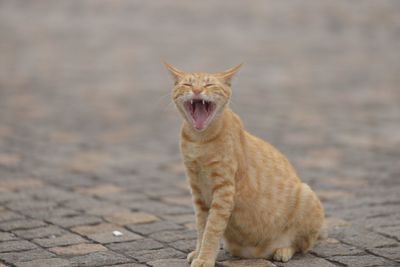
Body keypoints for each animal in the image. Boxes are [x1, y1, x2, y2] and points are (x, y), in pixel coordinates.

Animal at [166, 63, 324, 267]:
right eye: (187, 84)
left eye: (209, 84)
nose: (197, 90)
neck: (199, 140)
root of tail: (259, 252)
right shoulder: (197, 191)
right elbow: (202, 227)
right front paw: (199, 252)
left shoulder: (224, 190)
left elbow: (212, 229)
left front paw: (205, 258)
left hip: (306, 194)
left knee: (302, 245)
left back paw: (283, 250)